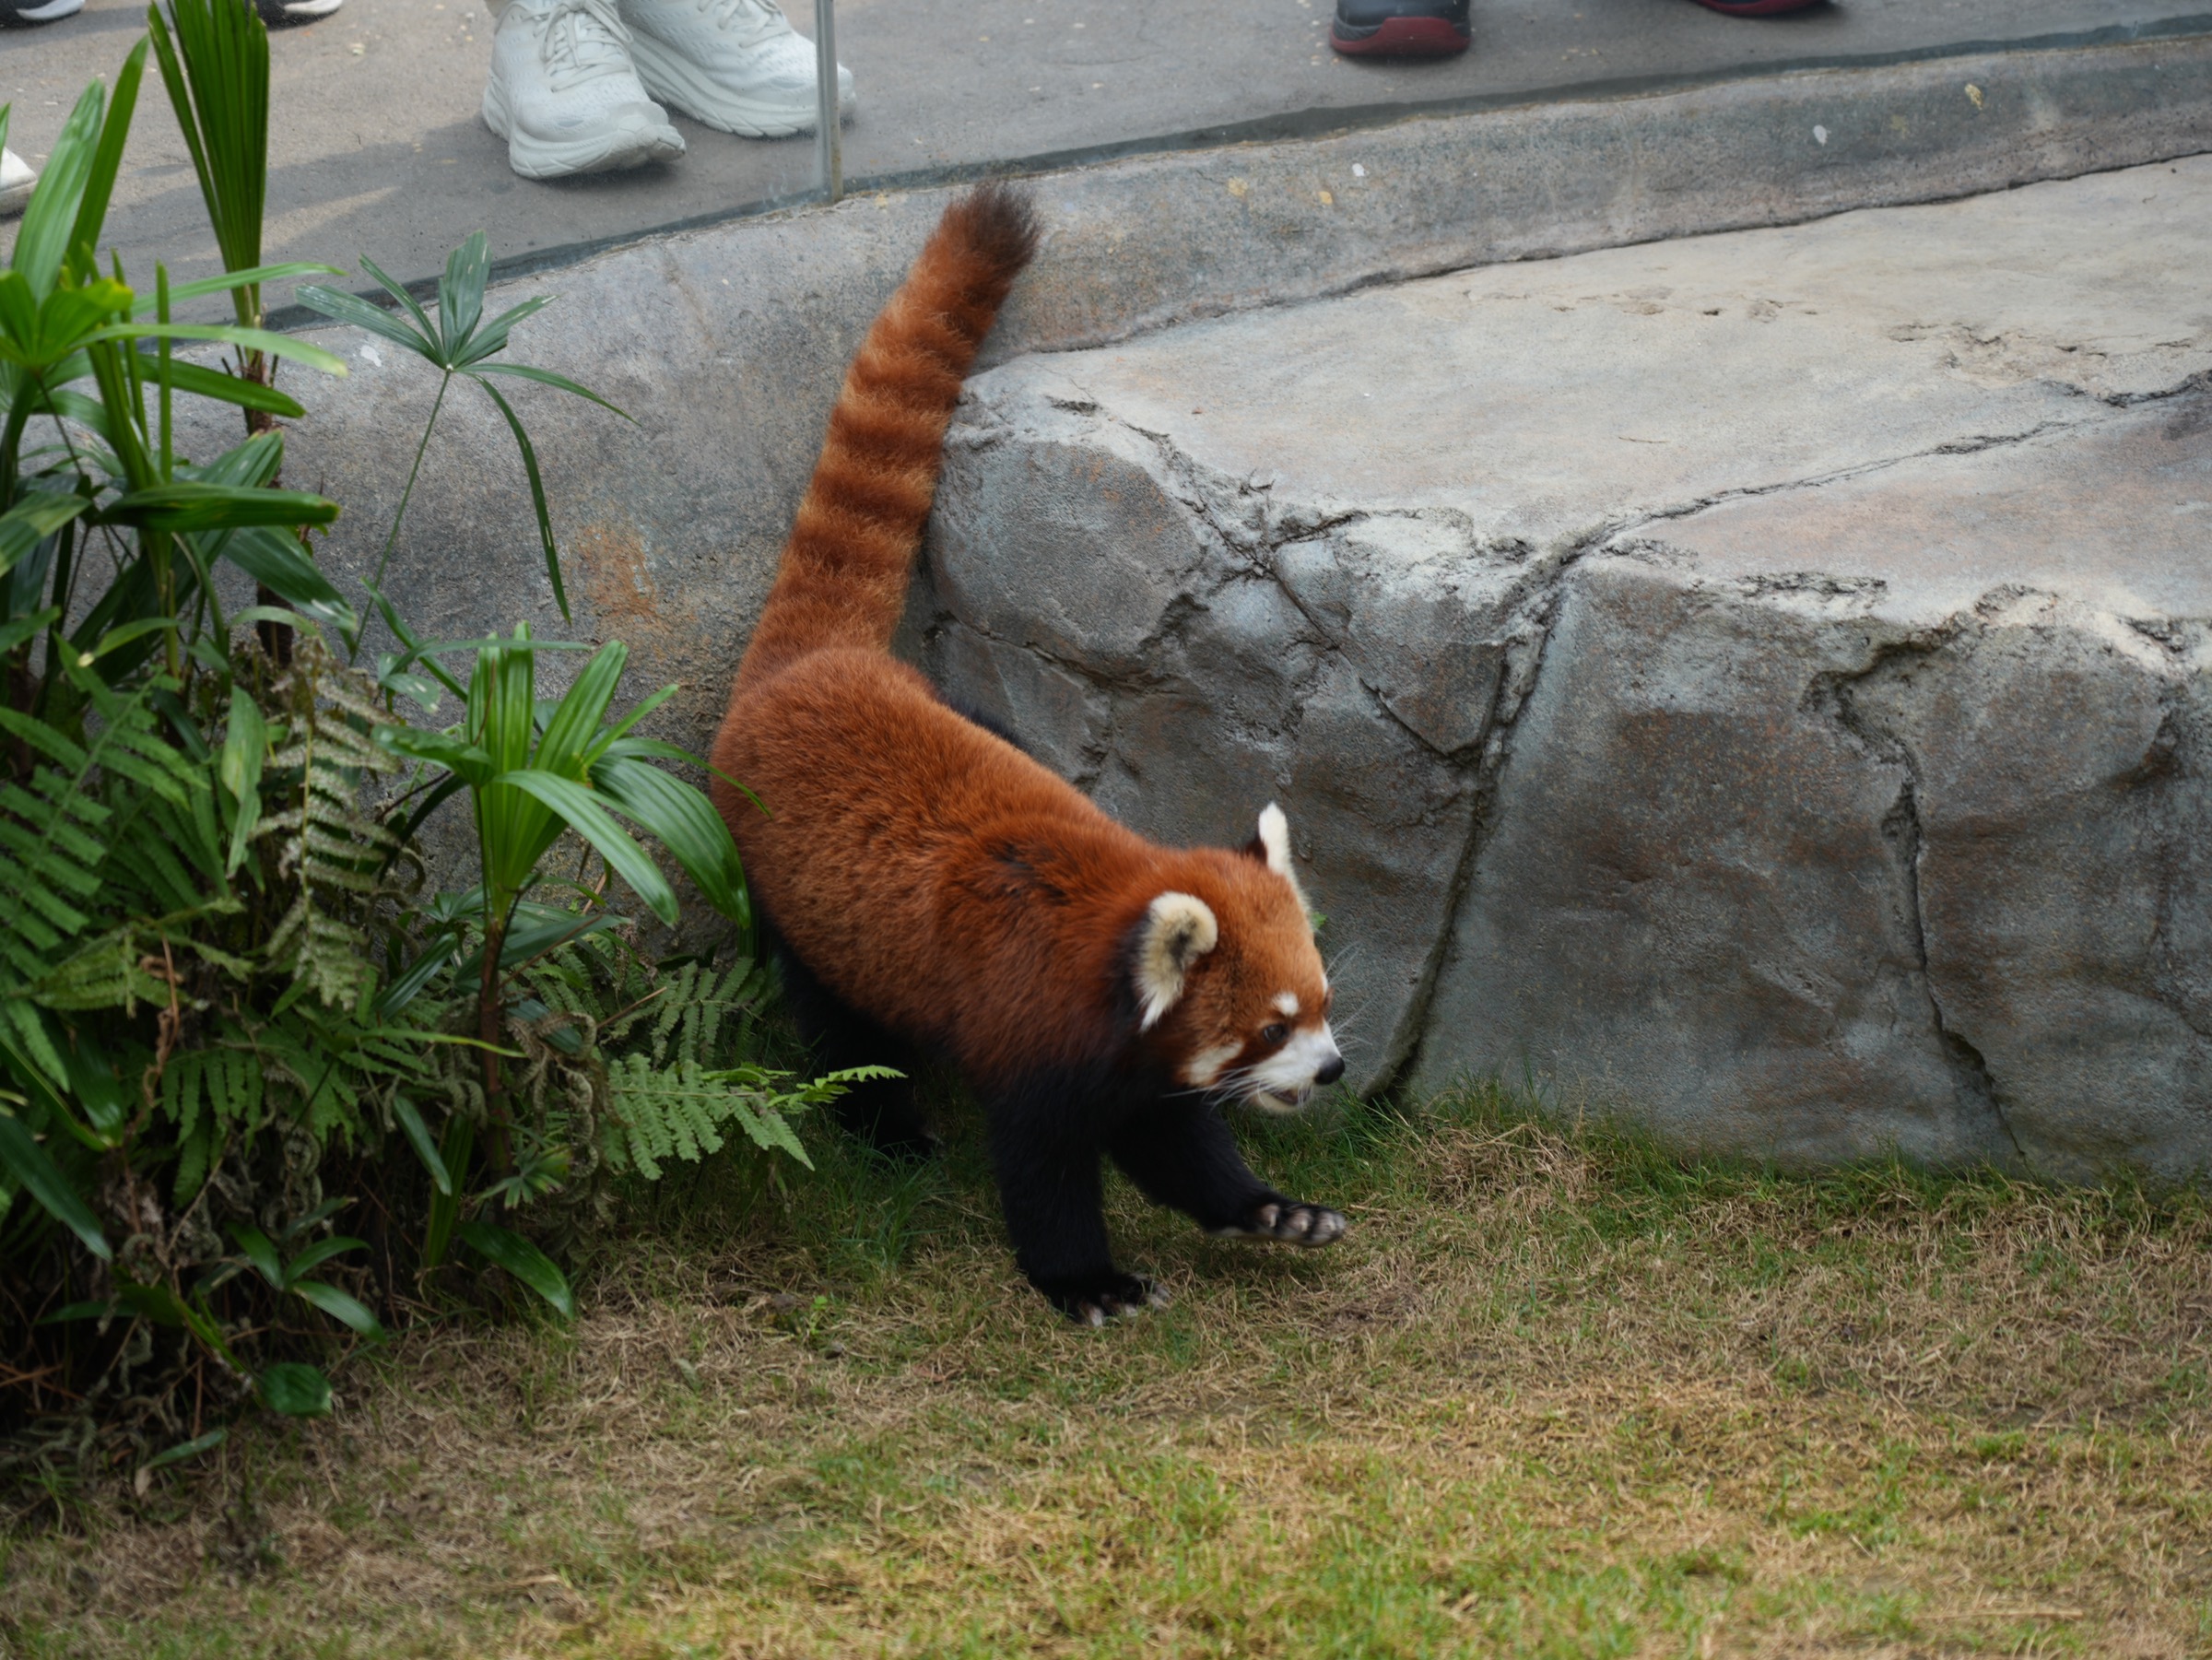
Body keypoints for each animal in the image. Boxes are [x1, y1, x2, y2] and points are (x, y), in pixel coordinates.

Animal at [708, 181, 1345, 1327]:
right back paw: (891, 1131)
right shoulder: (1036, 1036)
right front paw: (1091, 1283)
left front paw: (1273, 1211)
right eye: (1273, 1030)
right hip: (795, 902)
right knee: (840, 1030)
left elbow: (1178, 1149)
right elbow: (1045, 1169)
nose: (1333, 1072)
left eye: (1317, 1003)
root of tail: (812, 663)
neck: (1111, 938)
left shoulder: (1139, 1067)